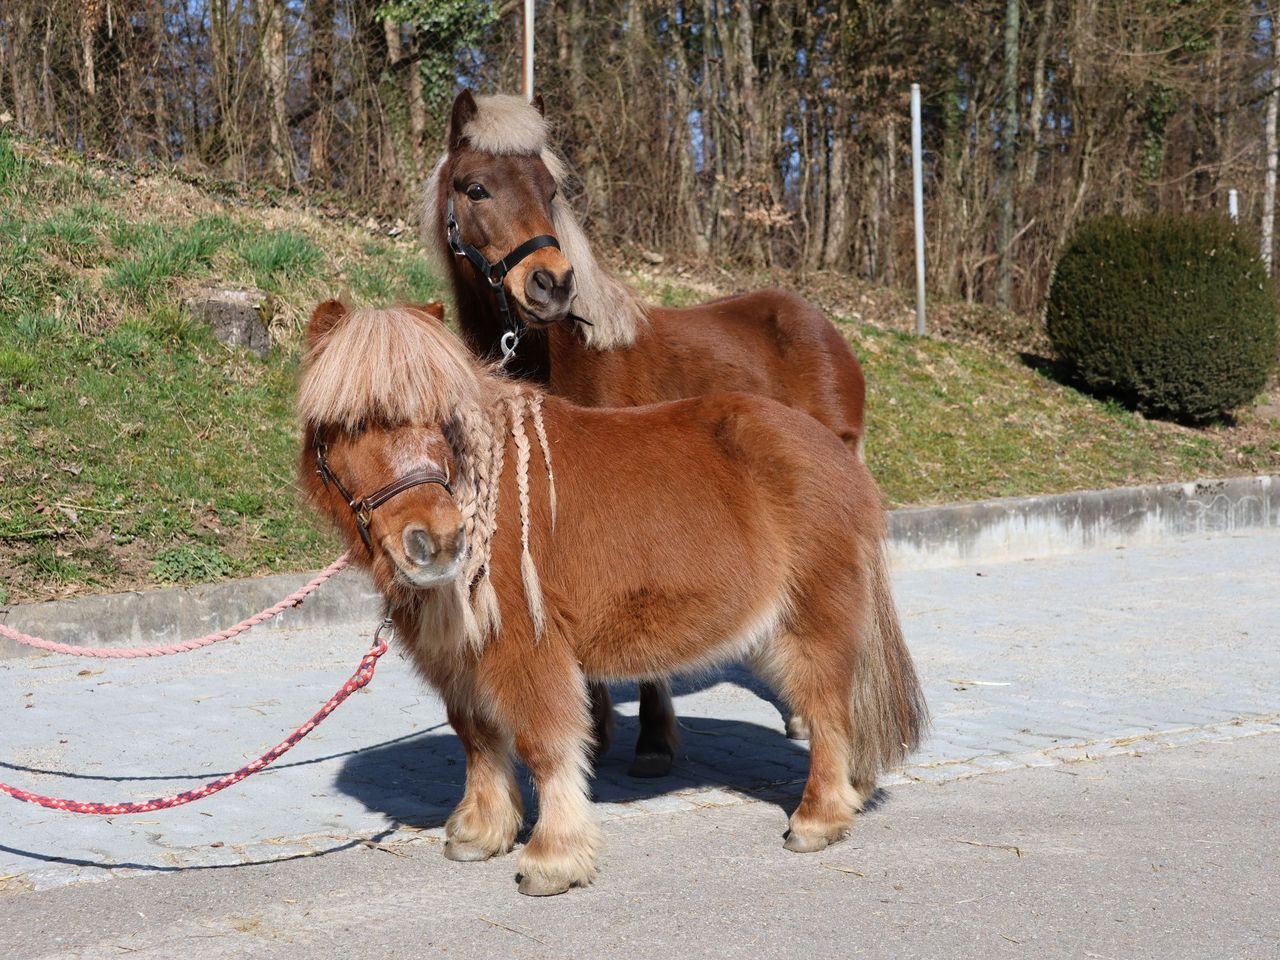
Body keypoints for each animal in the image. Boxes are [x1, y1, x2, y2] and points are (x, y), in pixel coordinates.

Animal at [298, 300, 925, 897]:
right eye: (350, 423)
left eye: (441, 420)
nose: (437, 543)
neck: (486, 494)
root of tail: (837, 457)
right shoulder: (463, 658)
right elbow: (477, 738)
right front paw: (480, 833)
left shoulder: (530, 650)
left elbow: (545, 746)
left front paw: (553, 860)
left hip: (810, 622)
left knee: (827, 711)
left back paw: (817, 819)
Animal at [424, 90, 871, 777]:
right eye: (476, 187)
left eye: (550, 190)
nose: (552, 284)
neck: (569, 359)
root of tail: (822, 326)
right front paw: (599, 729)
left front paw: (654, 740)